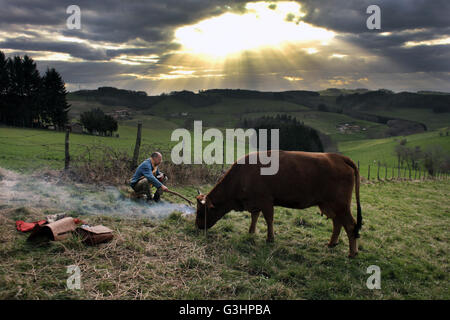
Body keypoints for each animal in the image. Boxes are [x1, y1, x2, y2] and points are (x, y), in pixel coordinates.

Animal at [196, 150, 362, 258]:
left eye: (202, 211)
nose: (197, 226)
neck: (242, 175)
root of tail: (338, 157)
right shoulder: (255, 202)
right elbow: (254, 217)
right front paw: (251, 232)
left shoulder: (266, 201)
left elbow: (268, 219)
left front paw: (270, 238)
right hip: (329, 205)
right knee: (337, 223)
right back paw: (331, 243)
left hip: (340, 205)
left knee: (350, 225)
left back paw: (352, 253)